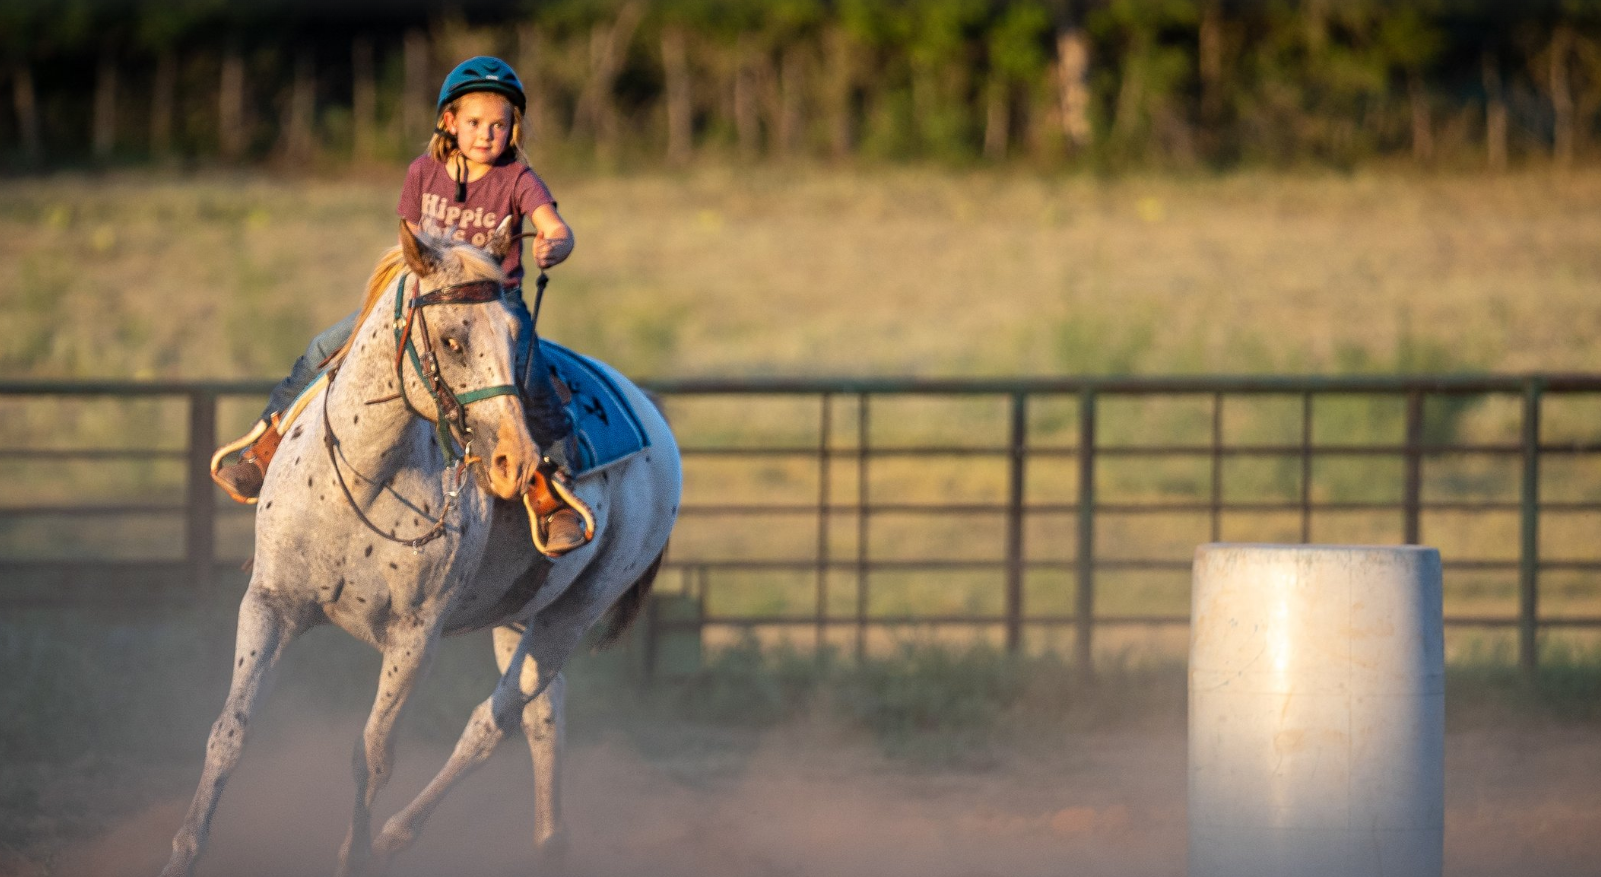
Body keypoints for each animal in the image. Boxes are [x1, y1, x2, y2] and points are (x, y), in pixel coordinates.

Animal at [161, 221, 681, 877]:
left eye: (518, 339)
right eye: (453, 340)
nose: (516, 461)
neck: (360, 479)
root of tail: (653, 419)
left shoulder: (414, 640)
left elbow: (373, 755)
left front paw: (356, 855)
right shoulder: (270, 603)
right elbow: (231, 730)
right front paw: (183, 853)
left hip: (577, 611)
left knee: (494, 721)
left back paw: (398, 834)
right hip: (521, 614)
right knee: (542, 714)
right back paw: (549, 843)